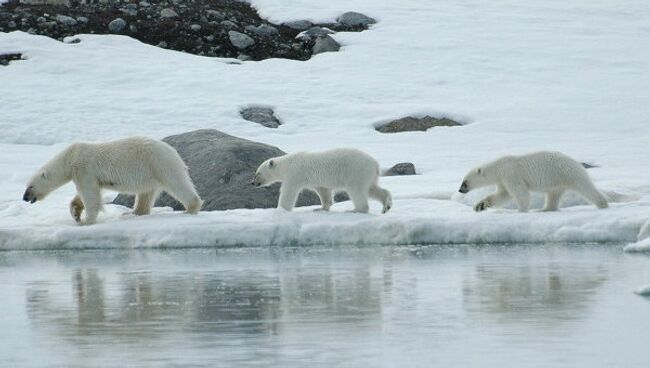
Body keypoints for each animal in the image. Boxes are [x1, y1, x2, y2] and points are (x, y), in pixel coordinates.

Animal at [22, 137, 201, 224]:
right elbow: (86, 193)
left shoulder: (83, 168)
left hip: (159, 163)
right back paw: (133, 212)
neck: (70, 156)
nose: (24, 197)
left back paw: (191, 208)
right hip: (151, 173)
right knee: (146, 193)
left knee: (177, 183)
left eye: (30, 186)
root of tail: (172, 151)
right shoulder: (87, 174)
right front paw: (76, 213)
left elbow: (89, 194)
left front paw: (86, 221)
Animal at [252, 148, 390, 214]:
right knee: (372, 189)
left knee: (357, 191)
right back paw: (386, 205)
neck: (287, 164)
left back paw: (355, 209)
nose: (253, 183)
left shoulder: (295, 174)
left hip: (356, 171)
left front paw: (281, 209)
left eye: (257, 173)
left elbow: (288, 192)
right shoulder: (316, 181)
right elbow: (324, 191)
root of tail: (375, 163)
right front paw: (321, 208)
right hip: (366, 174)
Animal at [458, 150, 604, 213]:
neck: (499, 167)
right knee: (553, 195)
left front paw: (521, 210)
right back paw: (544, 209)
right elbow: (503, 195)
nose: (460, 190)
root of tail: (577, 163)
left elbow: (520, 193)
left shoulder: (511, 174)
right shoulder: (503, 180)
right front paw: (479, 206)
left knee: (585, 187)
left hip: (567, 172)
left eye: (465, 182)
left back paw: (602, 204)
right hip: (558, 181)